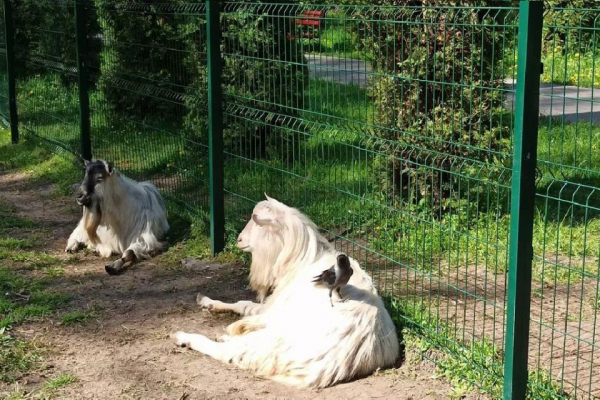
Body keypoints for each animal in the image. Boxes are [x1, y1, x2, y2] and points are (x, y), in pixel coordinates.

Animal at [170, 195, 398, 390]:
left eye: (257, 222)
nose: (239, 240)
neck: (302, 261)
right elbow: (243, 304)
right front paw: (207, 301)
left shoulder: (274, 308)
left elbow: (245, 306)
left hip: (274, 340)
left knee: (230, 352)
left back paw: (185, 336)